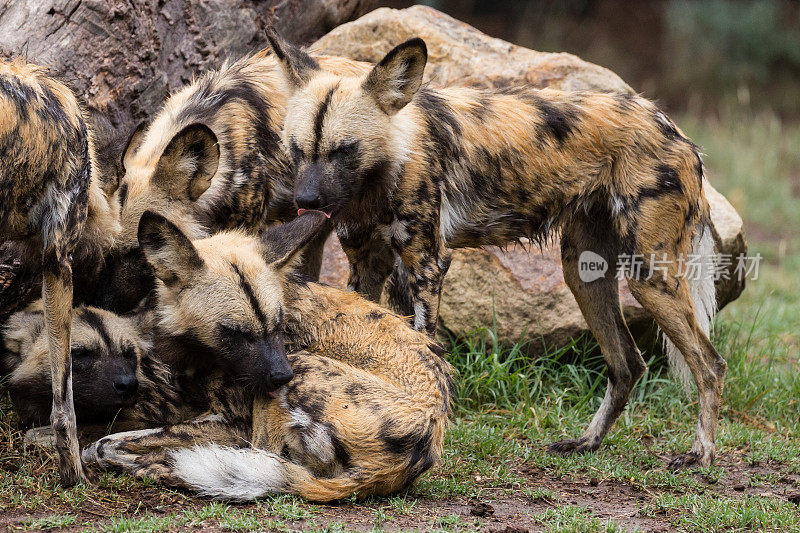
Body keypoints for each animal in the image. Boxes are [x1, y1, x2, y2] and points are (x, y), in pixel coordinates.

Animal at [85, 210, 456, 500]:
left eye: (278, 324)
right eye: (233, 332)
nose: (281, 376)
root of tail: (425, 439)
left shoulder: (233, 422)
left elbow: (104, 444)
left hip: (298, 370)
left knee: (257, 457)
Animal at [268, 32, 724, 466]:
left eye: (345, 150)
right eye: (296, 148)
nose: (305, 201)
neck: (385, 170)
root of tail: (673, 128)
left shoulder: (426, 265)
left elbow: (425, 353)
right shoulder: (367, 266)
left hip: (650, 276)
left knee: (710, 365)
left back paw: (700, 454)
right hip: (582, 272)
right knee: (627, 364)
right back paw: (587, 442)